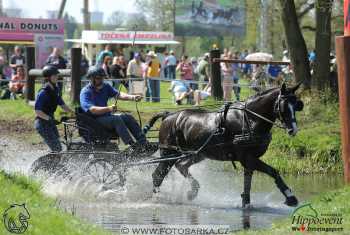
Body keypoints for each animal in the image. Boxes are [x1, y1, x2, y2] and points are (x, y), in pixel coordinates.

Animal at [145, 83, 304, 207]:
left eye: (296, 105)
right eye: (283, 106)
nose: (293, 129)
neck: (249, 119)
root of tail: (168, 115)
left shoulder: (249, 160)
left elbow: (248, 183)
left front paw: (246, 203)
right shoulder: (248, 158)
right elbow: (273, 172)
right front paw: (291, 198)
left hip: (198, 153)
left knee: (181, 165)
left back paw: (192, 191)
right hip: (169, 153)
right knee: (158, 175)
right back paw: (157, 198)